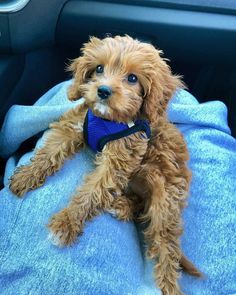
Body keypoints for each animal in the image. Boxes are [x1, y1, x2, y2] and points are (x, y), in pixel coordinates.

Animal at [9, 35, 201, 294]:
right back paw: (121, 205)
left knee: (165, 246)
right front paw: (26, 175)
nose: (103, 90)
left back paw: (170, 285)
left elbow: (92, 191)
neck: (108, 119)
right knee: (140, 205)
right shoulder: (75, 126)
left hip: (166, 199)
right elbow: (49, 152)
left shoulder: (119, 159)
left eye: (132, 78)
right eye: (99, 68)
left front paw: (66, 223)